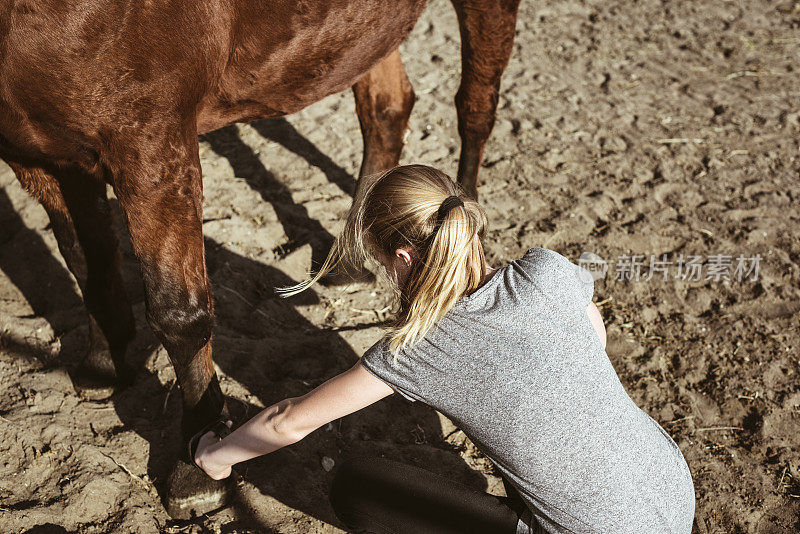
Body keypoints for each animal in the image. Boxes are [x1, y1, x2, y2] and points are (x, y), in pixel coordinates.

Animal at [0, 0, 520, 520]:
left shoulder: (150, 145)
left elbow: (178, 314)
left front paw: (197, 468)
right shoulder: (42, 157)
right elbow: (86, 260)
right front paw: (105, 362)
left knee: (475, 107)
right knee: (386, 108)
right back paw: (348, 263)